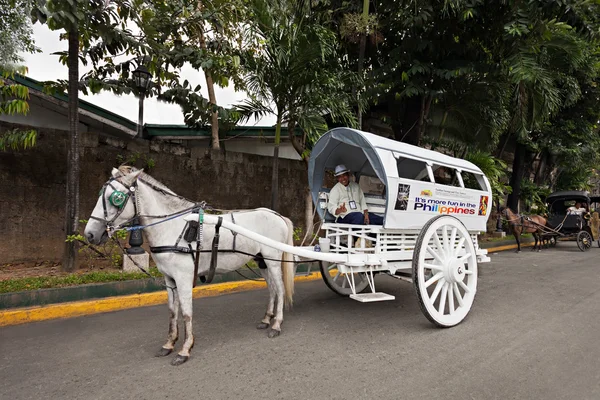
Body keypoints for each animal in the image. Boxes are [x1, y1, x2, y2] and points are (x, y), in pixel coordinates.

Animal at [84, 166, 296, 366]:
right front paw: (169, 344)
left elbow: (186, 313)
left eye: (116, 199)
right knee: (272, 289)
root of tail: (277, 215)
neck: (173, 226)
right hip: (261, 260)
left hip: (273, 260)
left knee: (280, 288)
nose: (89, 234)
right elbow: (172, 311)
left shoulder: (184, 278)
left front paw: (185, 349)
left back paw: (276, 324)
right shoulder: (169, 279)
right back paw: (266, 319)